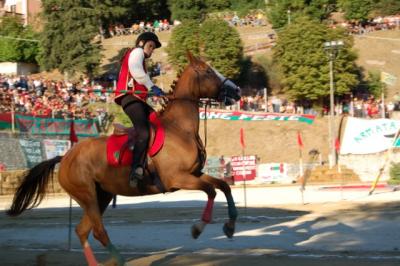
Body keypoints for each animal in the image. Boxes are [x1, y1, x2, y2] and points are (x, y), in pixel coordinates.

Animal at [6, 52, 241, 266]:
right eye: (208, 71)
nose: (237, 90)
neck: (179, 129)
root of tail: (64, 157)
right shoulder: (178, 178)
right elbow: (210, 191)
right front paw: (198, 228)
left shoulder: (194, 174)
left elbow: (222, 186)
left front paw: (230, 226)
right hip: (87, 196)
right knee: (98, 231)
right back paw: (118, 259)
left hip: (101, 196)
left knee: (83, 231)